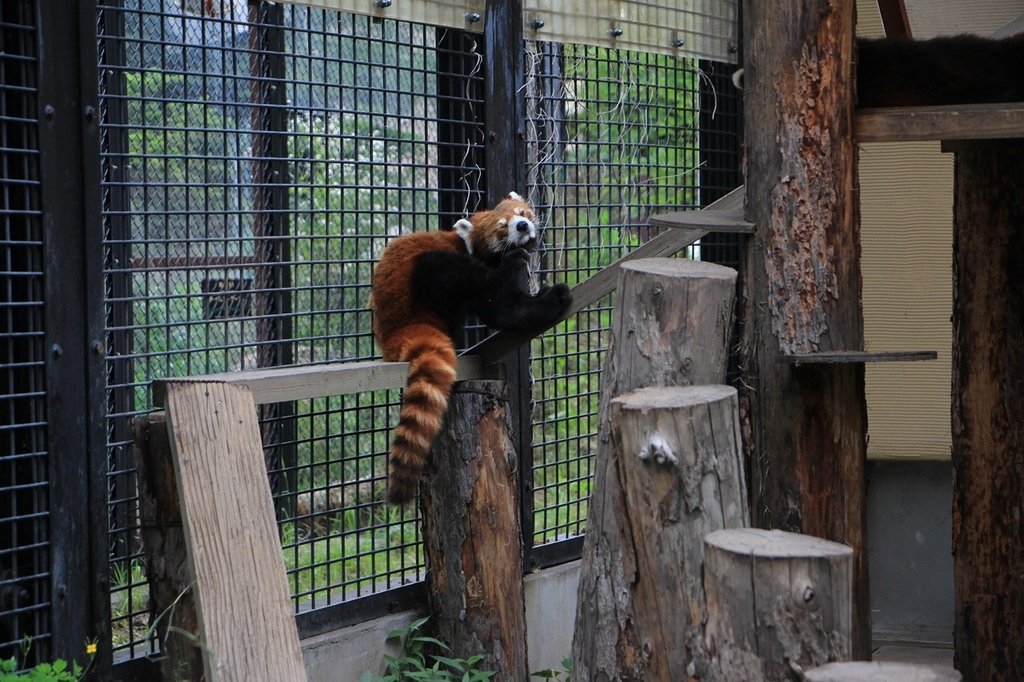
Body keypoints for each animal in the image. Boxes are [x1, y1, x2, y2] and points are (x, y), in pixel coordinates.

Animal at [372, 193, 573, 501]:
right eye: (502, 227)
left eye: (521, 212)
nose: (523, 226)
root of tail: (399, 326)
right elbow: (496, 298)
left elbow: (504, 309)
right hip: (421, 277)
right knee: (464, 278)